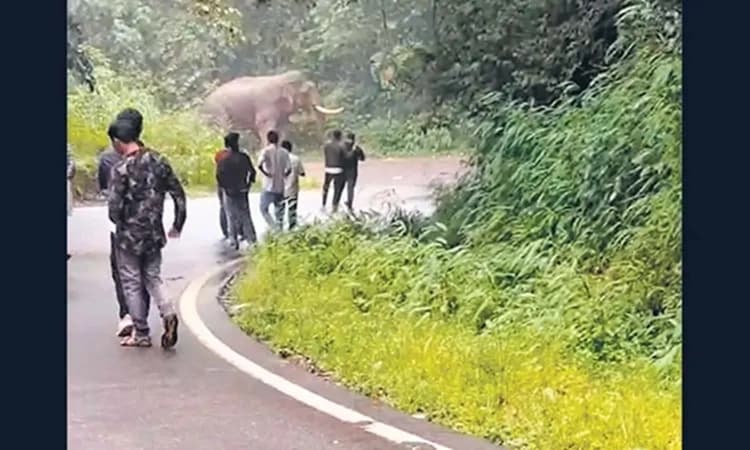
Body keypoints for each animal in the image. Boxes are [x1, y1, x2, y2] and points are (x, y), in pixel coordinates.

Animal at [200, 70, 344, 147]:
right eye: (307, 91)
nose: (323, 144)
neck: (282, 78)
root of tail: (203, 103)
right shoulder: (266, 106)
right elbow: (264, 127)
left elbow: (283, 129)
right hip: (217, 112)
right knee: (220, 130)